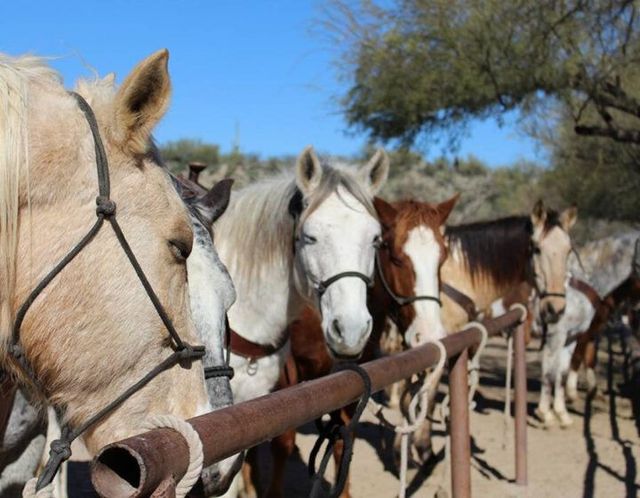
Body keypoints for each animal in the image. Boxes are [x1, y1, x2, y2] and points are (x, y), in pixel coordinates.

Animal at [257, 196, 458, 498]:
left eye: (442, 258)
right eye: (397, 258)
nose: (430, 334)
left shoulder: (352, 381)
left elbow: (343, 445)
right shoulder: (284, 376)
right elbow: (281, 441)